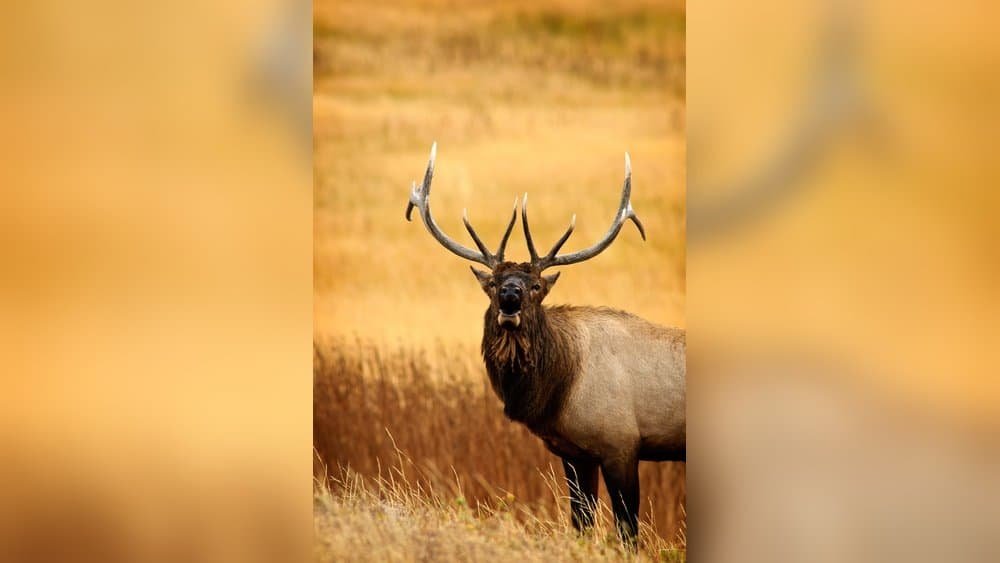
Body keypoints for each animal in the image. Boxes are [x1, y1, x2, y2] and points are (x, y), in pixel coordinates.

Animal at [406, 143, 686, 543]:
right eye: (493, 283)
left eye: (536, 285)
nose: (510, 296)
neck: (560, 388)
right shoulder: (575, 453)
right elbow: (581, 523)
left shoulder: (622, 443)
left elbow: (628, 532)